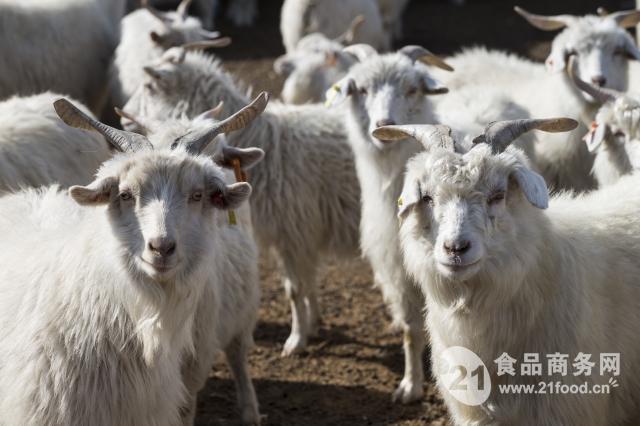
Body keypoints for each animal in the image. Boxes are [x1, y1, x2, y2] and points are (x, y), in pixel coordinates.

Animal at [119, 49, 360, 360]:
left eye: (150, 86)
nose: (125, 118)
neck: (269, 145)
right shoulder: (300, 235)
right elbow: (306, 284)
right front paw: (313, 322)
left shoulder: (294, 233)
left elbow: (296, 289)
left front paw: (296, 339)